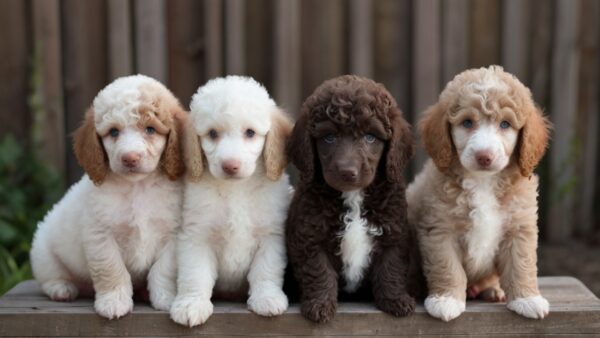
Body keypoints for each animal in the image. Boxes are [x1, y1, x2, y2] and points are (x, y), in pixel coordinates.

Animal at [29, 74, 185, 320]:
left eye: (150, 129)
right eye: (113, 132)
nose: (130, 158)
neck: (138, 187)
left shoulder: (172, 235)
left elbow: (163, 270)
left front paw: (166, 299)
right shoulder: (101, 235)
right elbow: (112, 269)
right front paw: (114, 302)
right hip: (43, 252)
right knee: (50, 276)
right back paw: (62, 289)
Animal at [169, 75, 292, 326]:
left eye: (250, 133)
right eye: (212, 134)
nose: (230, 165)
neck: (236, 189)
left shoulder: (270, 235)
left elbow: (266, 269)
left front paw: (267, 298)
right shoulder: (197, 236)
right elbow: (195, 274)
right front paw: (190, 305)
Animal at [286, 75, 418, 324]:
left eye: (370, 137)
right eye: (329, 137)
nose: (348, 172)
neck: (354, 196)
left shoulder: (394, 232)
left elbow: (391, 267)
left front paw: (396, 301)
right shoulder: (310, 236)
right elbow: (318, 271)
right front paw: (320, 306)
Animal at [408, 66, 552, 322]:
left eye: (505, 124)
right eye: (467, 122)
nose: (484, 156)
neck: (483, 181)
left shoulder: (519, 227)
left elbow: (521, 264)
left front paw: (527, 299)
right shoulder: (439, 229)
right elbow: (447, 266)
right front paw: (446, 301)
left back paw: (492, 290)